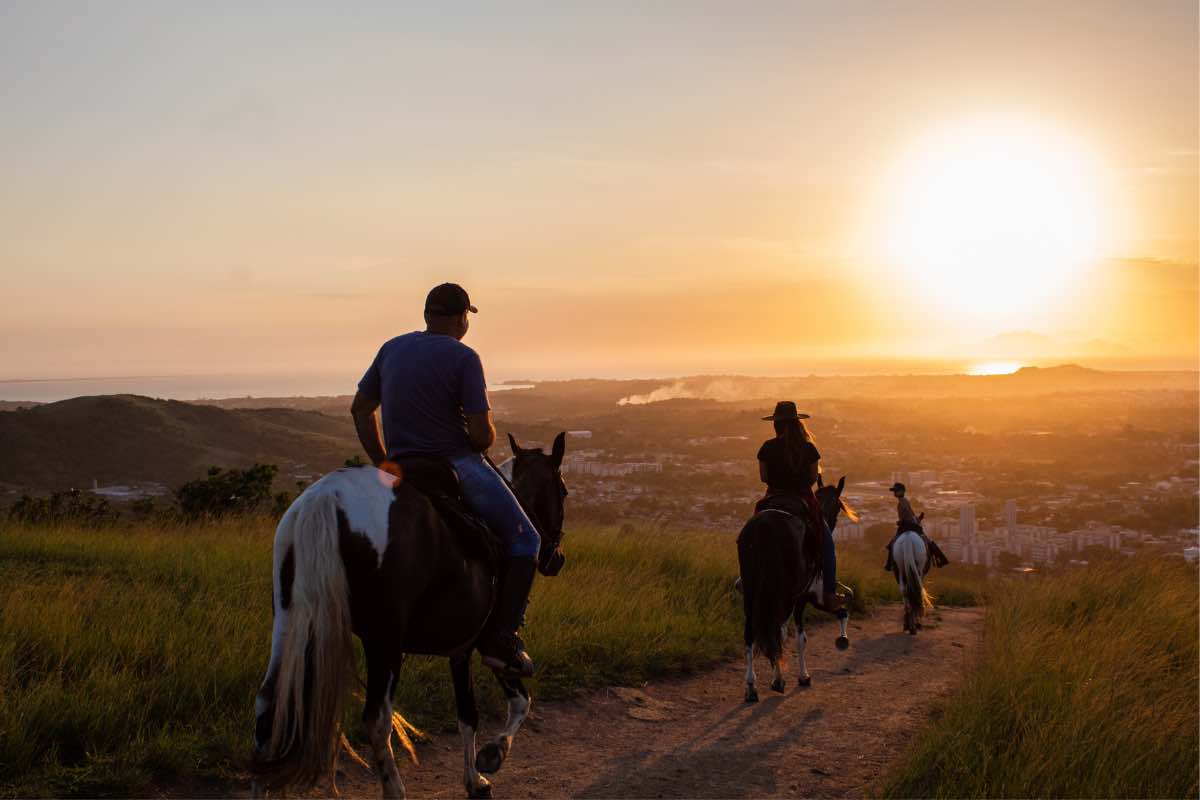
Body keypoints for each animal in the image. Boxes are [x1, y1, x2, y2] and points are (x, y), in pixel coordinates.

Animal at [249, 434, 566, 796]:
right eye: (563, 491)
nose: (556, 558)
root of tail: (327, 498)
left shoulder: (459, 648)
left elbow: (467, 714)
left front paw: (474, 779)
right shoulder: (487, 643)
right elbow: (520, 700)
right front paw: (492, 755)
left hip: (288, 620)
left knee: (267, 709)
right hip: (383, 639)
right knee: (377, 719)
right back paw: (395, 790)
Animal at [734, 479, 859, 705]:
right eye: (838, 506)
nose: (832, 524)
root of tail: (765, 528)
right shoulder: (805, 598)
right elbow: (802, 639)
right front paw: (803, 676)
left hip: (753, 591)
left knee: (750, 633)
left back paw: (751, 687)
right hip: (785, 594)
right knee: (777, 630)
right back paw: (777, 681)